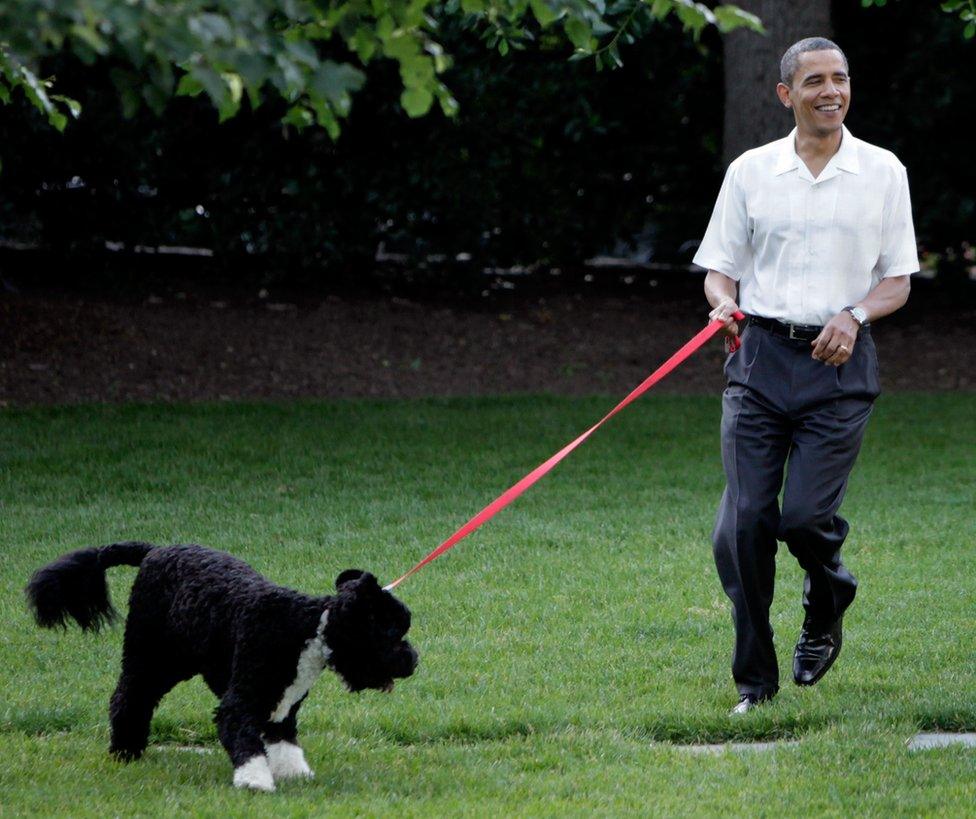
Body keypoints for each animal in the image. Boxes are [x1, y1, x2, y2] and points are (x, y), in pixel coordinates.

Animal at [26, 540, 416, 792]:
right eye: (393, 631)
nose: (414, 660)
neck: (306, 628)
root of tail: (153, 550)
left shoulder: (282, 703)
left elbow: (283, 739)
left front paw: (294, 773)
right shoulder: (241, 699)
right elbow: (244, 739)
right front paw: (255, 780)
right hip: (151, 655)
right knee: (130, 696)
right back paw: (125, 751)